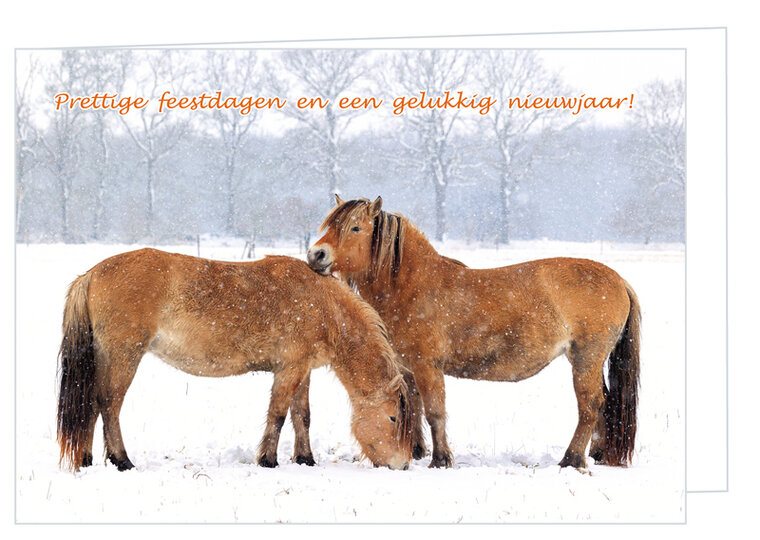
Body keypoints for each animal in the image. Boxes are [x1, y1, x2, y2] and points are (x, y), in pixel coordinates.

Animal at [57, 248, 412, 472]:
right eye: (393, 418)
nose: (404, 463)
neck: (321, 304)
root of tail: (91, 274)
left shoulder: (302, 370)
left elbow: (302, 416)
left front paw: (305, 459)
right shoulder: (289, 370)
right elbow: (278, 415)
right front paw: (268, 460)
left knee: (90, 405)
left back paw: (87, 459)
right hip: (123, 355)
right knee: (109, 404)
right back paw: (122, 461)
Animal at [307, 196, 640, 470]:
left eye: (355, 228)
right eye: (329, 224)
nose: (316, 255)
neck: (411, 285)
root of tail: (619, 280)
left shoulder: (428, 366)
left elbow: (435, 412)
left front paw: (441, 460)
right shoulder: (408, 367)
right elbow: (413, 409)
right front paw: (415, 451)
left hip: (586, 358)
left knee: (591, 405)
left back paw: (571, 459)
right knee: (605, 402)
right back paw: (597, 454)